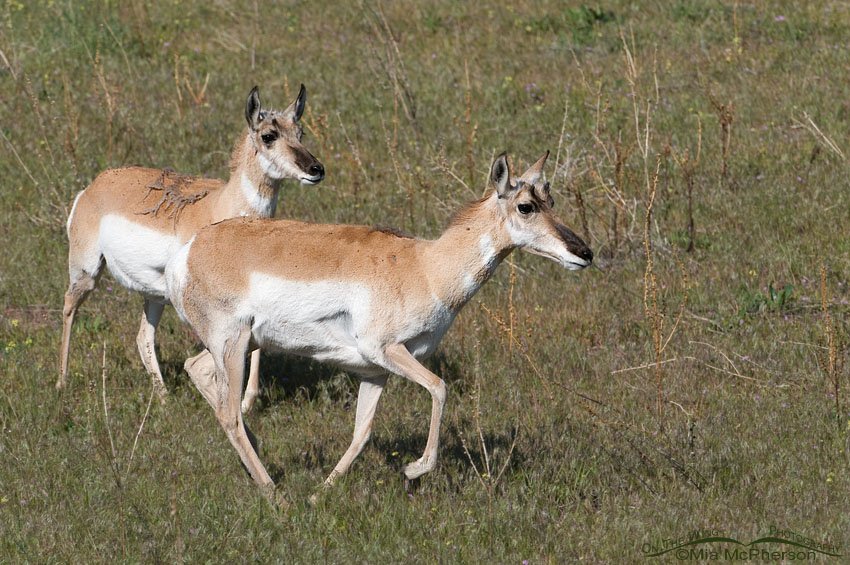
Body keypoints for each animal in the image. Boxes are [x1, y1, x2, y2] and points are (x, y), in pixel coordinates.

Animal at [59, 85, 324, 402]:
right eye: (268, 135)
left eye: (300, 132)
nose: (316, 169)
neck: (220, 204)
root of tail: (95, 185)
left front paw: (248, 401)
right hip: (86, 273)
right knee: (69, 307)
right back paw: (61, 383)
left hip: (155, 296)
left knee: (143, 337)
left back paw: (163, 398)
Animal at [165, 152, 592, 500]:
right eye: (526, 206)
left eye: (551, 200)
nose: (584, 252)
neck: (425, 266)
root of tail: (191, 249)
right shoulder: (388, 350)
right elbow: (440, 387)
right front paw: (414, 469)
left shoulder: (375, 372)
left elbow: (362, 432)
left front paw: (321, 493)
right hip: (233, 343)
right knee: (229, 413)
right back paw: (274, 492)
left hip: (244, 343)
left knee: (197, 370)